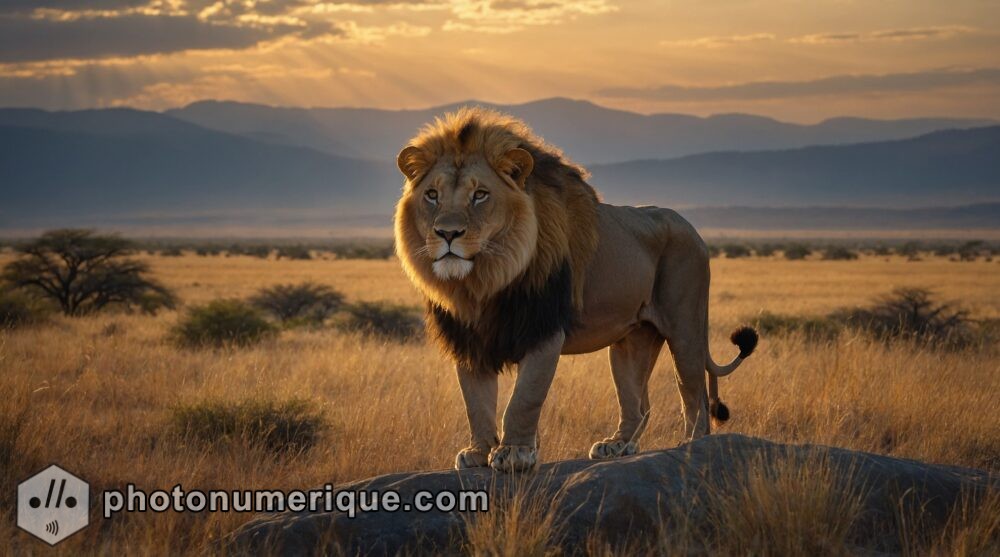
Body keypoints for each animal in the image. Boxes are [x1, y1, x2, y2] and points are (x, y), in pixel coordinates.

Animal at [394, 106, 752, 472]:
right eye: (432, 195)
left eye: (480, 194)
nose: (447, 233)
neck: (483, 283)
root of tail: (693, 230)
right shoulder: (469, 338)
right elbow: (475, 401)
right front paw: (479, 452)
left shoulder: (544, 330)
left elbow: (524, 399)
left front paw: (515, 452)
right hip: (631, 340)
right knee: (639, 404)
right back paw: (618, 445)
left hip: (685, 327)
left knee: (693, 393)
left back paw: (691, 445)